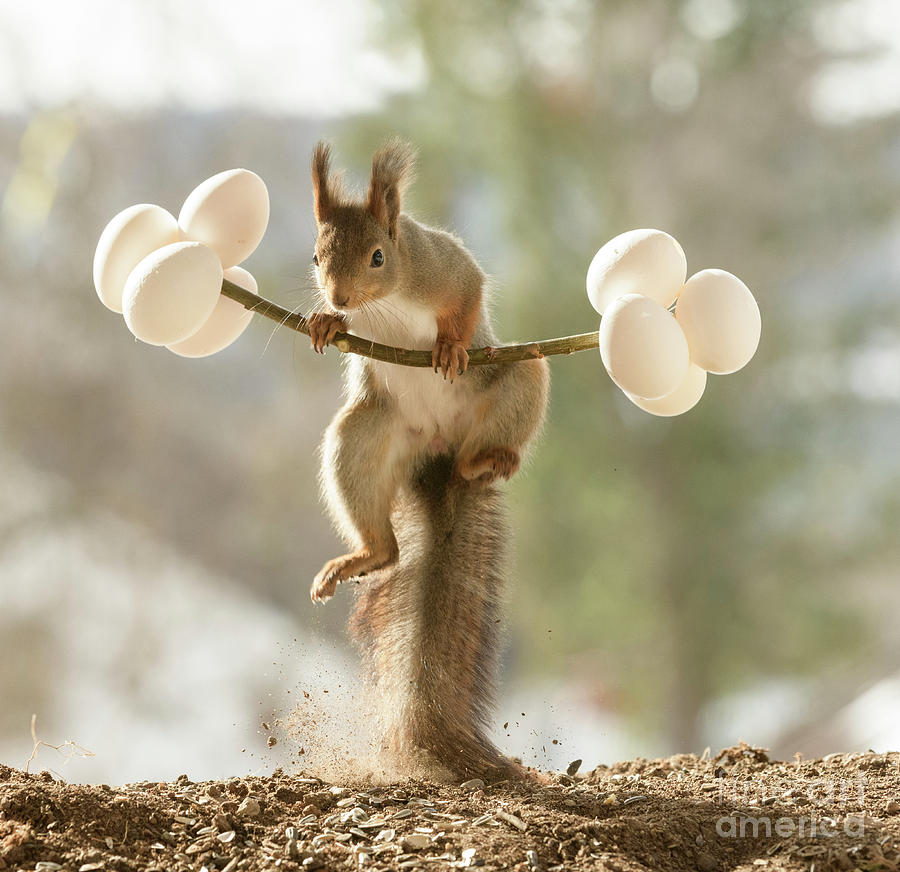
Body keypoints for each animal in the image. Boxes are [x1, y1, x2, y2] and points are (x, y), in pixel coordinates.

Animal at [310, 141, 548, 784]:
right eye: (316, 256)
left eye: (378, 256)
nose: (338, 299)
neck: (387, 302)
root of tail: (440, 453)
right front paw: (324, 323)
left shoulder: (441, 265)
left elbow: (469, 290)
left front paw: (450, 344)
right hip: (364, 434)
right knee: (385, 542)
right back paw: (365, 554)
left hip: (518, 378)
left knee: (499, 424)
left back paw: (490, 461)